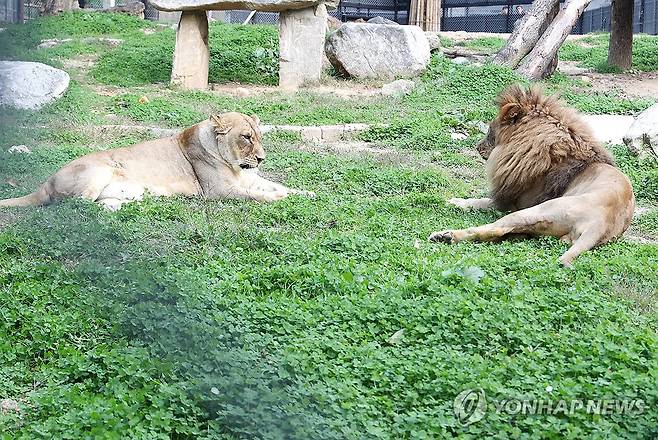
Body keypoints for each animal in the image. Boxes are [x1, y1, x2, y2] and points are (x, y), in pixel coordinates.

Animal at [0, 112, 312, 211]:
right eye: (246, 137)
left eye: (258, 136)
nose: (261, 158)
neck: (237, 166)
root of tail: (45, 182)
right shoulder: (217, 192)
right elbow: (256, 196)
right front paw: (278, 198)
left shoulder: (252, 178)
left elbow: (279, 185)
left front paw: (307, 193)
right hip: (99, 170)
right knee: (72, 205)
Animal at [428, 84, 632, 266]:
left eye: (490, 131)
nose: (478, 148)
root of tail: (601, 224)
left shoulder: (512, 201)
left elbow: (479, 201)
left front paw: (454, 201)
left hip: (533, 211)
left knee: (493, 229)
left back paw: (445, 235)